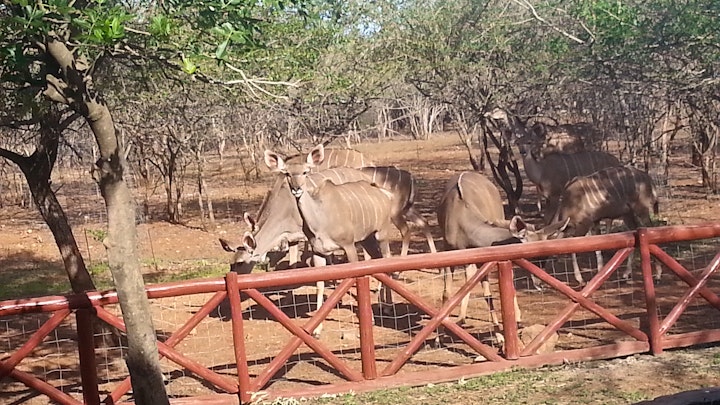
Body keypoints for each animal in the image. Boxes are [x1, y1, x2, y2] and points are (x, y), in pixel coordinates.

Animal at [436, 171, 568, 325]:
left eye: (546, 257)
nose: (540, 284)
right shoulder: (448, 250)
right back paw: (463, 318)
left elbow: (487, 292)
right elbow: (446, 293)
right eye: (530, 256)